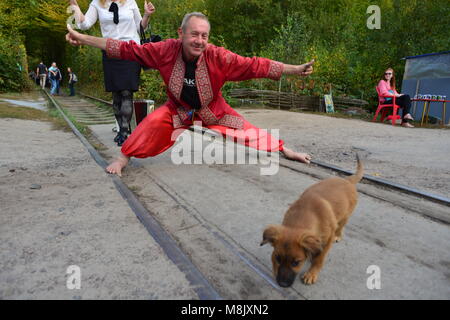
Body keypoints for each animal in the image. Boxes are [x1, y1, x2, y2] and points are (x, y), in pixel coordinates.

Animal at [260, 155, 362, 288]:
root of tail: (347, 181)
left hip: (345, 217)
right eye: (277, 258)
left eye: (296, 262)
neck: (306, 213)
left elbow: (320, 258)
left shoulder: (327, 240)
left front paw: (311, 273)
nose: (282, 284)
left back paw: (338, 236)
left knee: (340, 227)